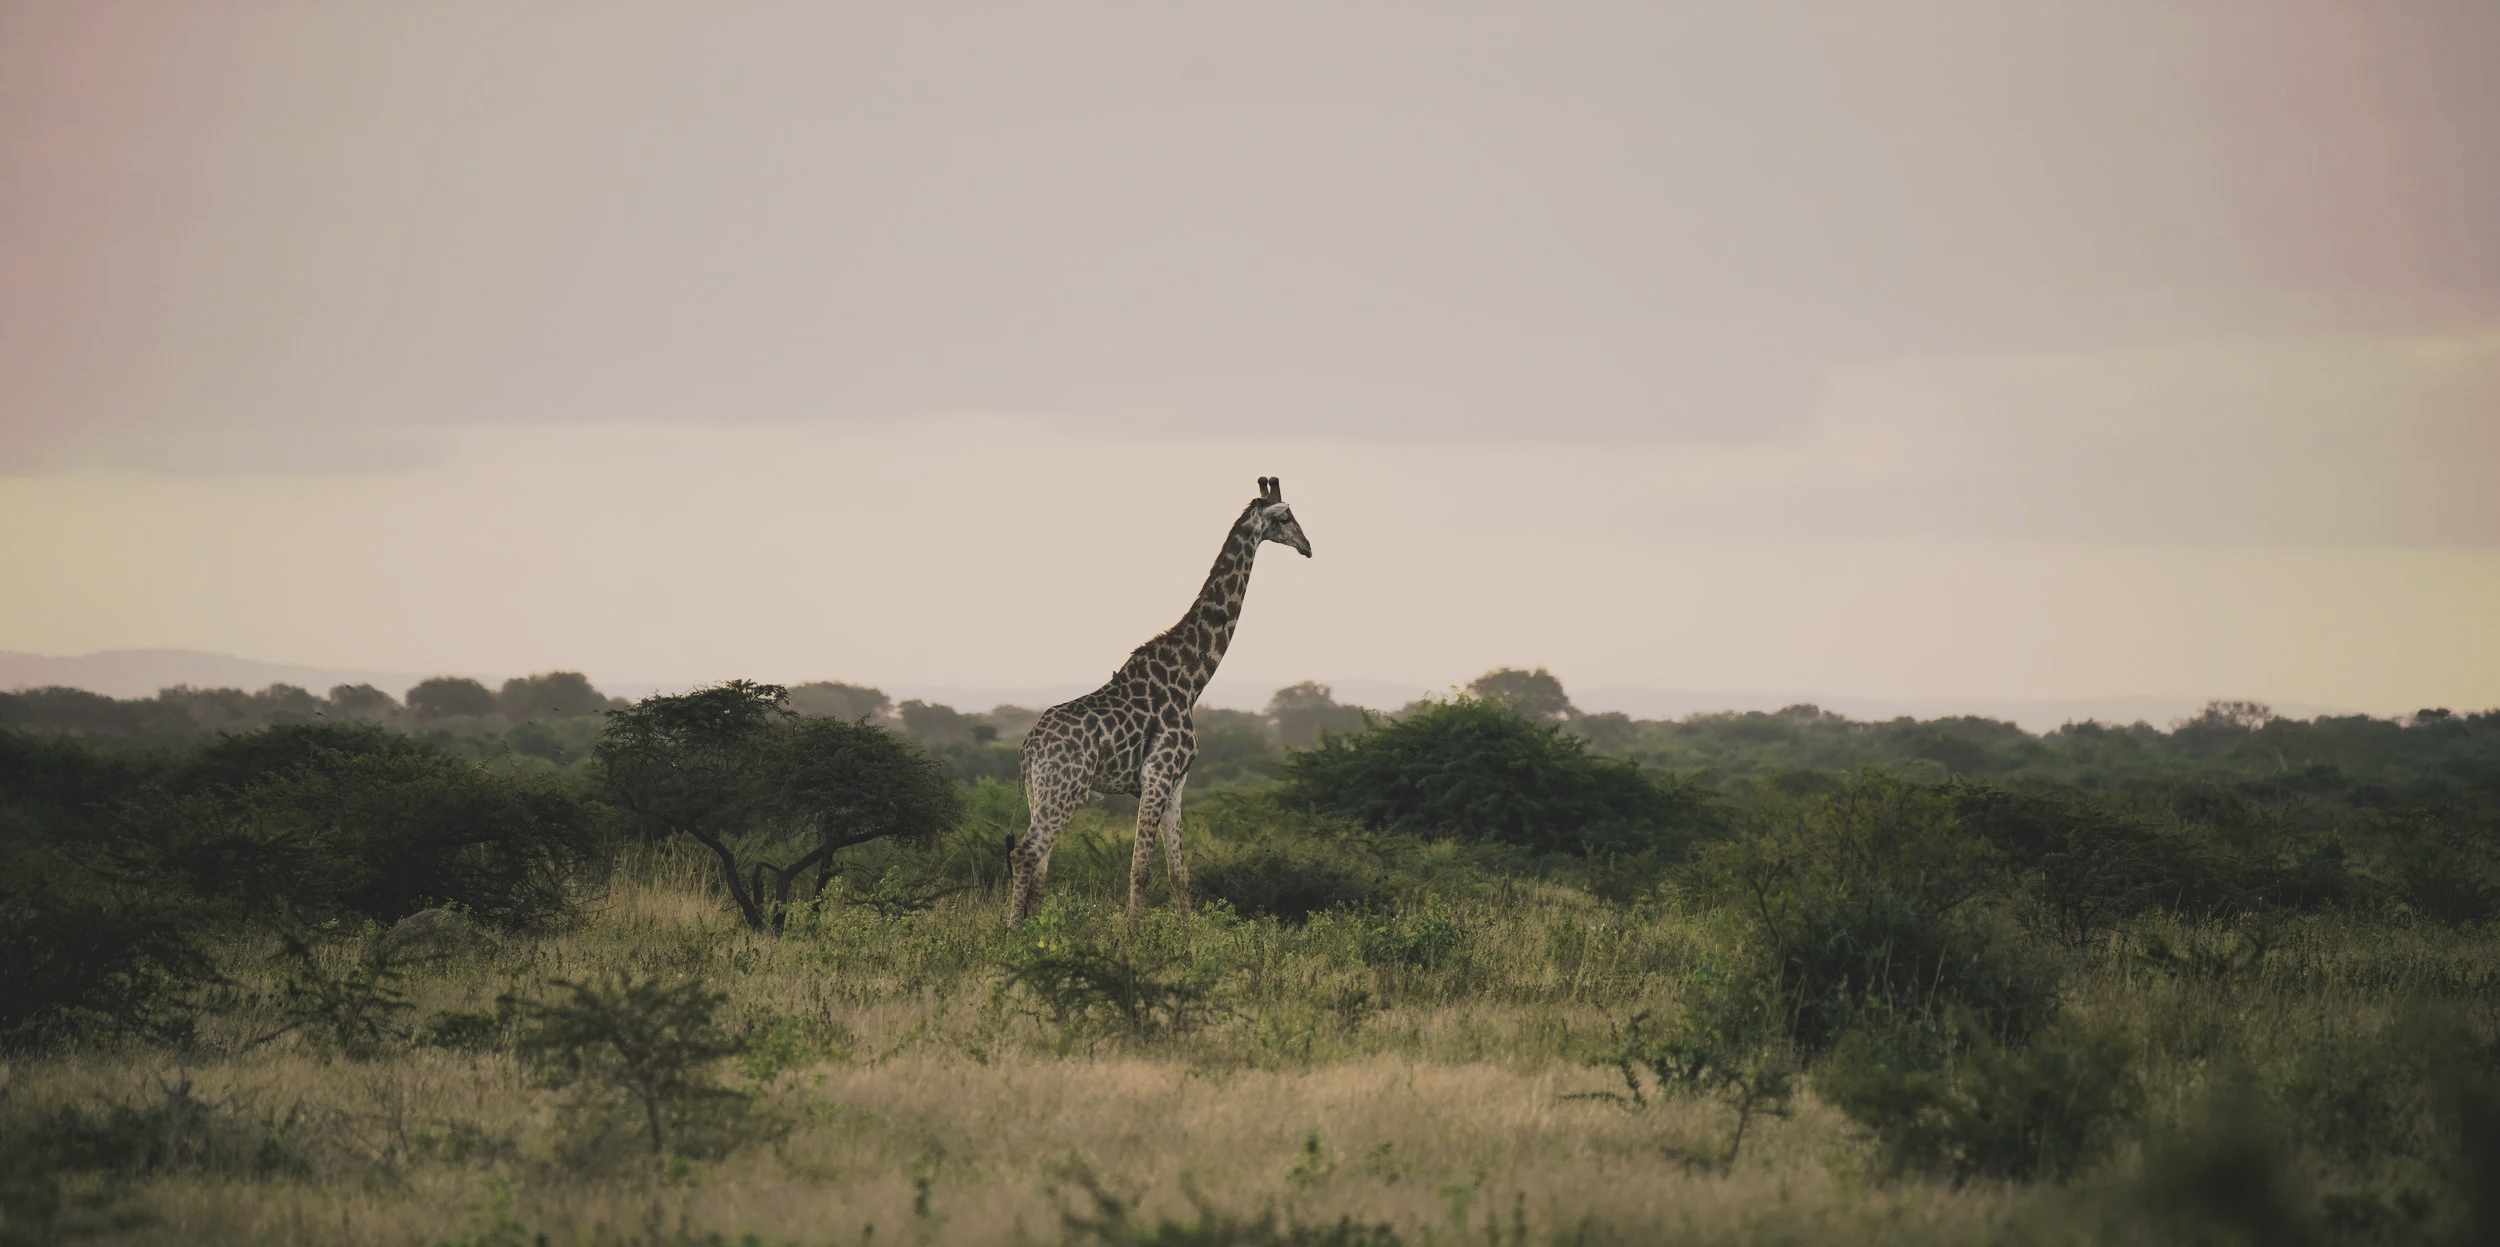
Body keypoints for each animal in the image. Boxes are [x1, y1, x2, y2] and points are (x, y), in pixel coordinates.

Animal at [1009, 476, 1313, 932]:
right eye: (1287, 517)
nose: (1308, 546)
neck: (1190, 679)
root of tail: (1028, 748)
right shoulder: (1156, 776)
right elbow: (1141, 868)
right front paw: (1132, 935)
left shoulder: (1177, 783)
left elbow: (1178, 872)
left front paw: (1189, 936)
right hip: (1066, 790)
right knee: (1025, 853)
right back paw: (1010, 932)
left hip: (1041, 791)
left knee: (1039, 861)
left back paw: (1037, 931)